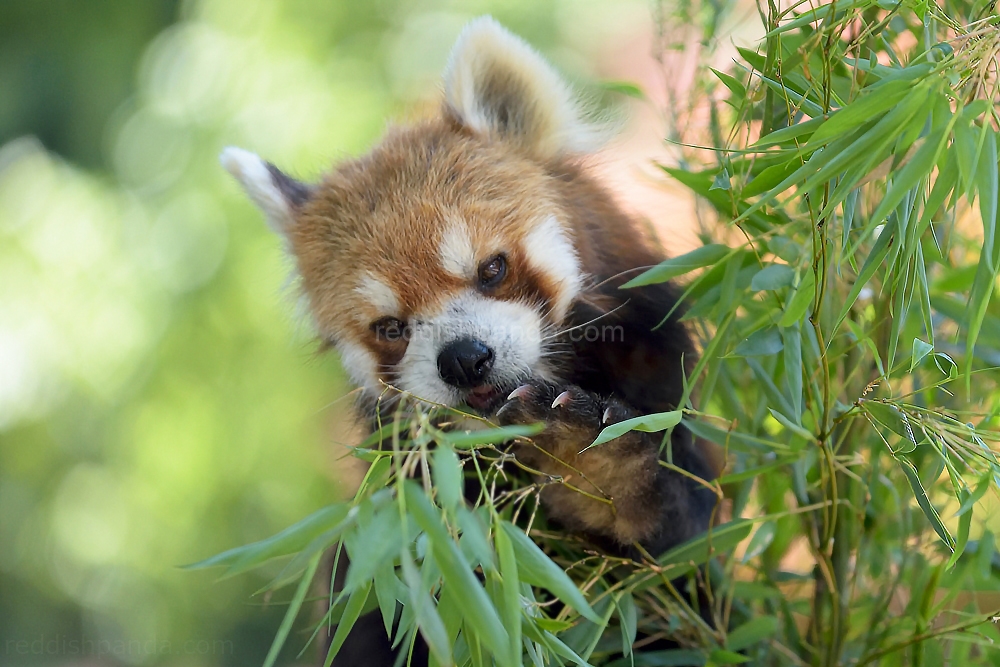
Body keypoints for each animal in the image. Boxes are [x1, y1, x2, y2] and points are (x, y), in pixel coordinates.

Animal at [220, 14, 720, 664]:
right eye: (391, 327)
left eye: (492, 268)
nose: (463, 360)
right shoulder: (403, 526)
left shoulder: (663, 381)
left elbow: (679, 544)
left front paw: (585, 459)